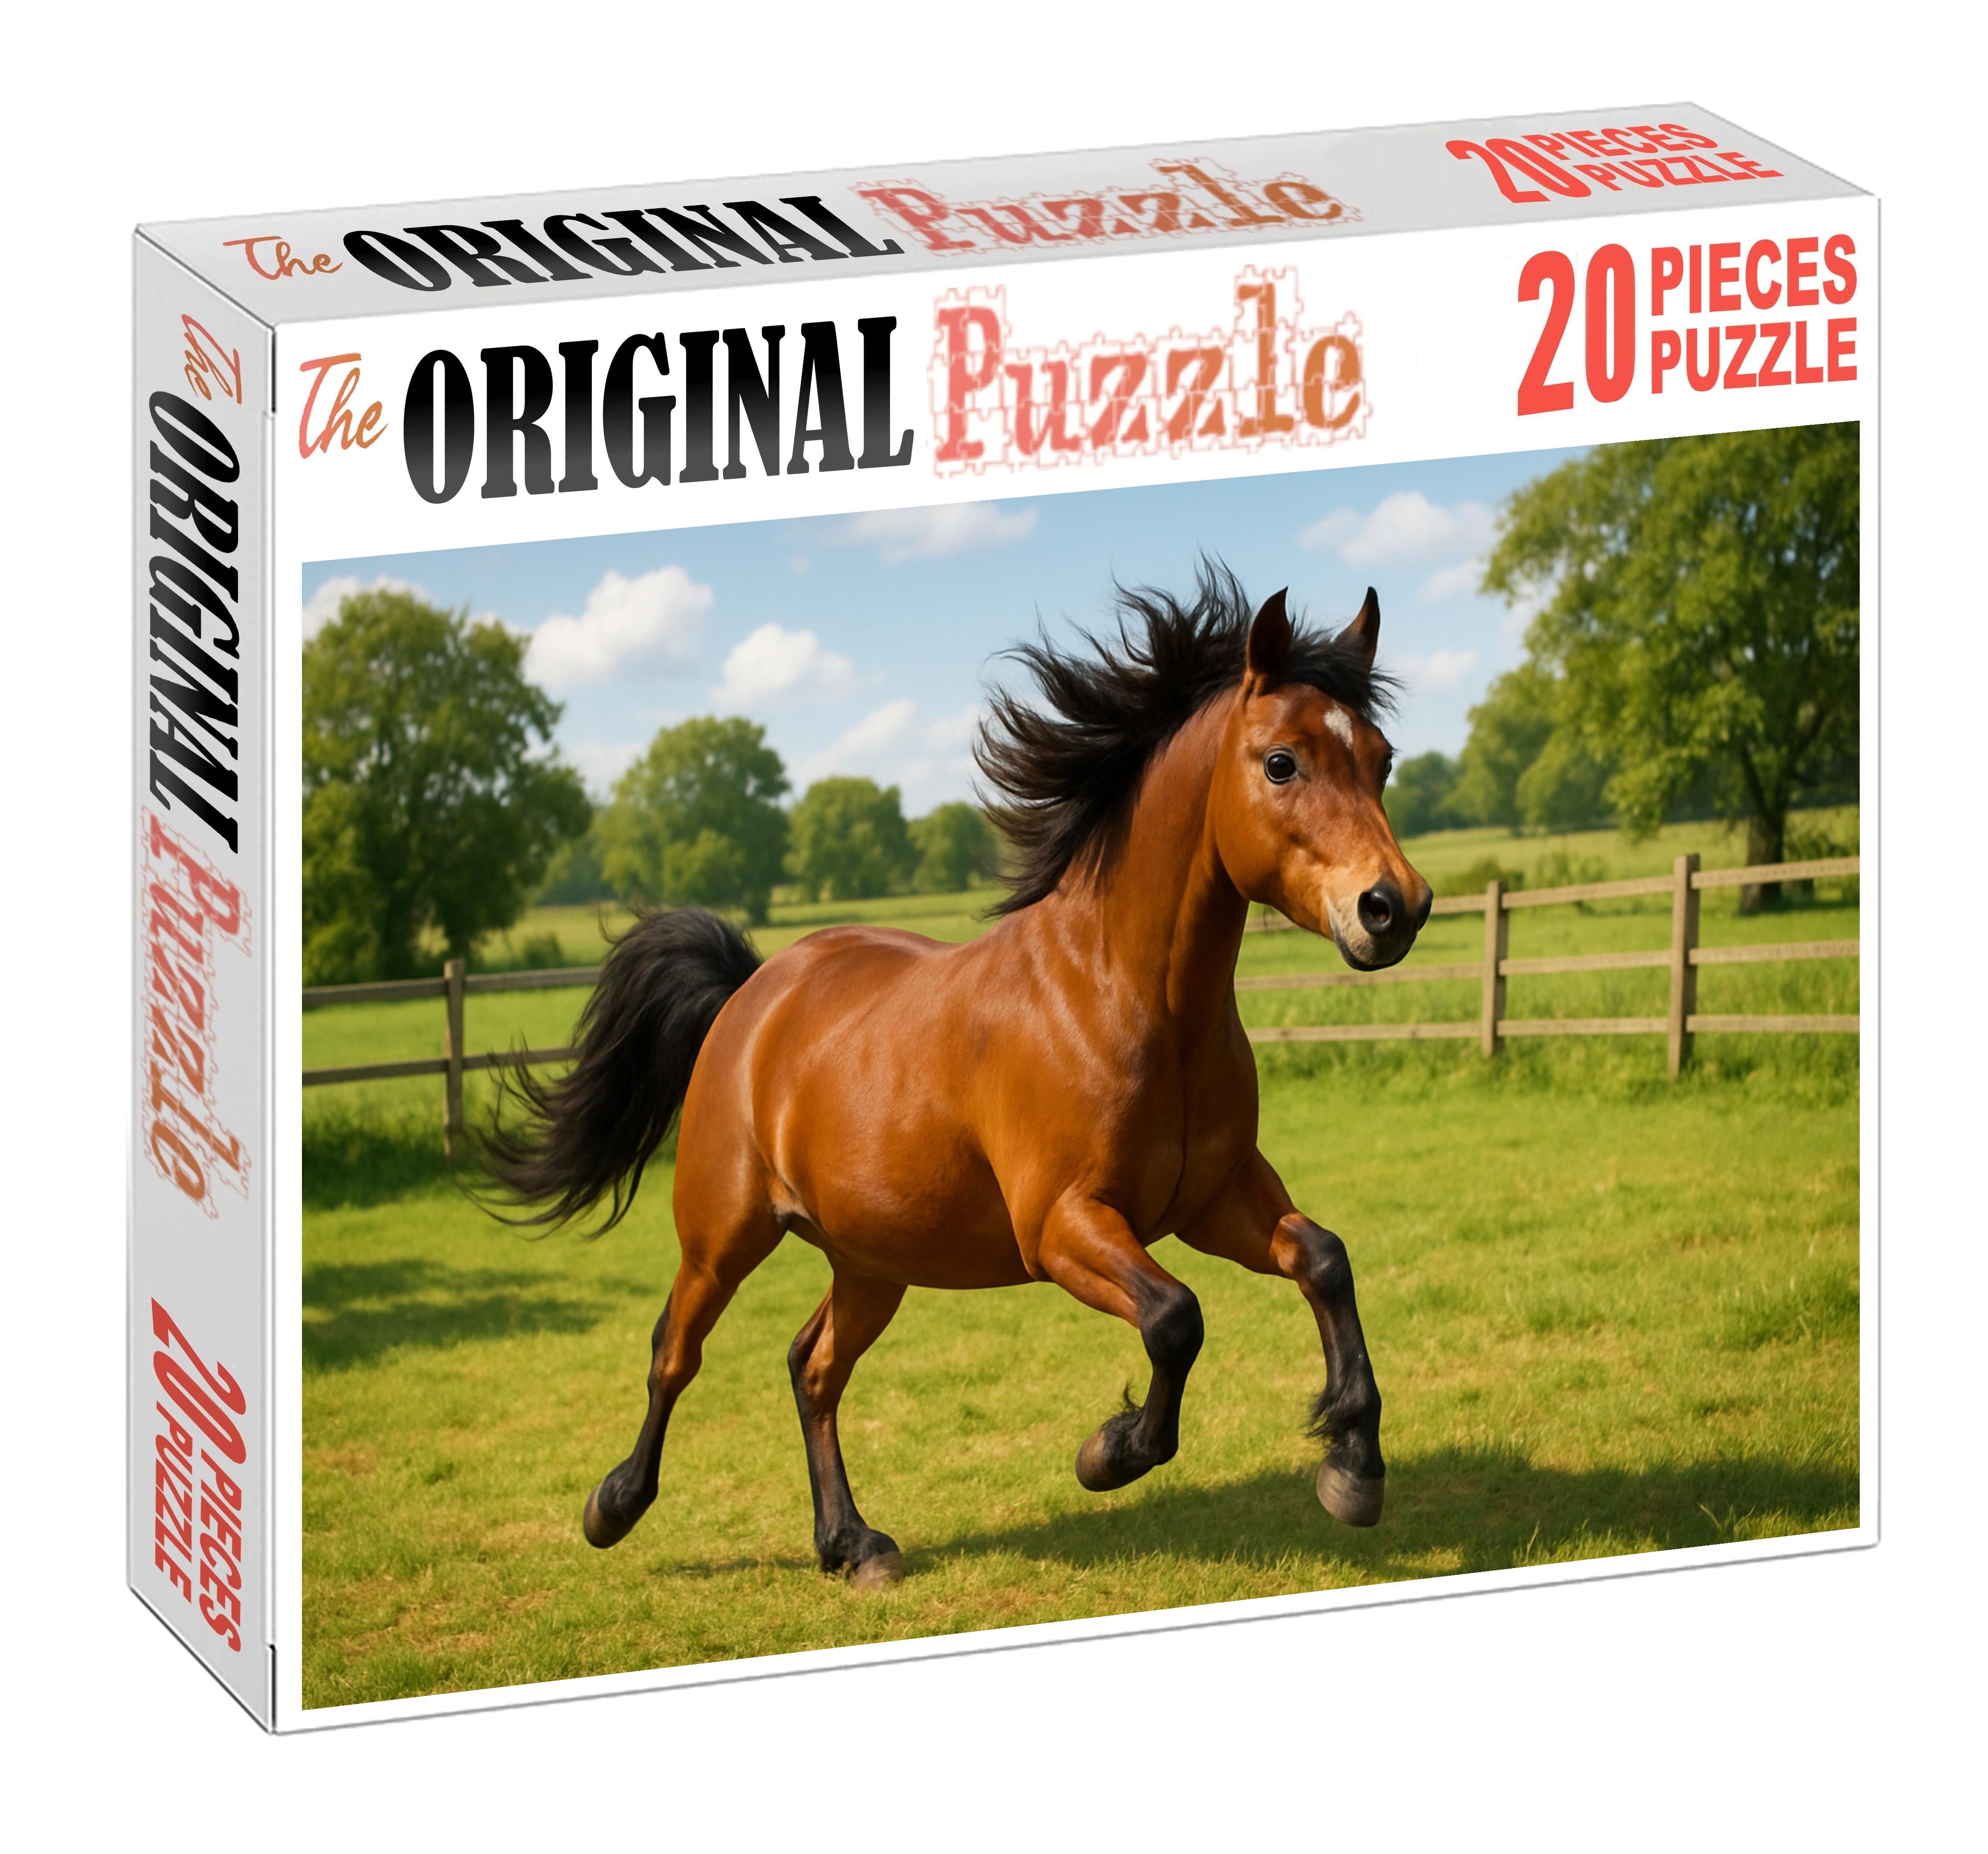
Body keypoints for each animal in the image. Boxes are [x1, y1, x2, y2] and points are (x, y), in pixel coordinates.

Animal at [485, 565, 1431, 1590]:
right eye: (1281, 763)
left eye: (1379, 759)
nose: (1395, 907)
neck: (1127, 997)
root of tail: (756, 988)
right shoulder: (1061, 1226)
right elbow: (1176, 1318)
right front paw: (1108, 1453)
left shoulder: (1215, 1198)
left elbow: (1325, 1260)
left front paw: (1353, 1469)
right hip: (723, 1233)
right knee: (676, 1351)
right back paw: (614, 1506)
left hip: (871, 1259)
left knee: (812, 1367)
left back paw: (854, 1544)